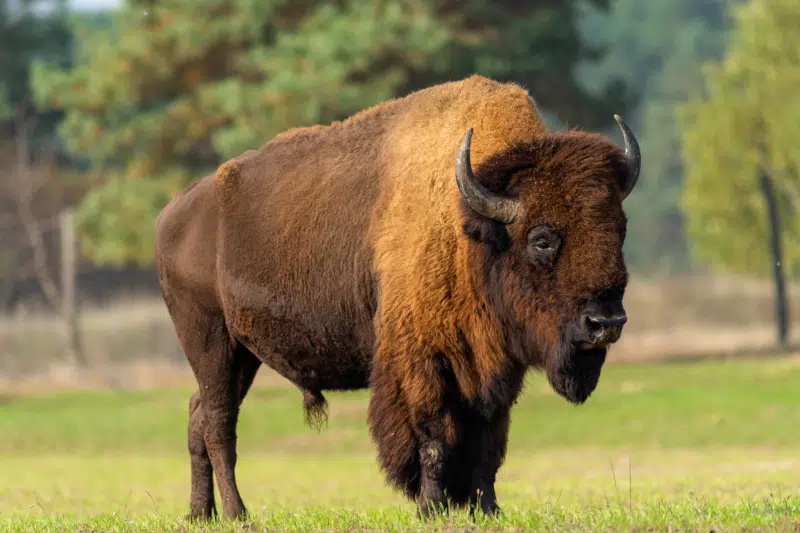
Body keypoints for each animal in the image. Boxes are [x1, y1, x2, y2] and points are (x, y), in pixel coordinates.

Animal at [154, 75, 641, 521]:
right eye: (541, 239)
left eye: (620, 228)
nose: (605, 324)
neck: (469, 228)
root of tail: (174, 213)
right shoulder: (422, 361)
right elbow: (434, 435)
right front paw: (431, 507)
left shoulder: (495, 368)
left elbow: (489, 439)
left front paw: (487, 509)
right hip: (211, 342)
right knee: (219, 424)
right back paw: (238, 514)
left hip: (242, 354)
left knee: (199, 415)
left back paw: (199, 513)